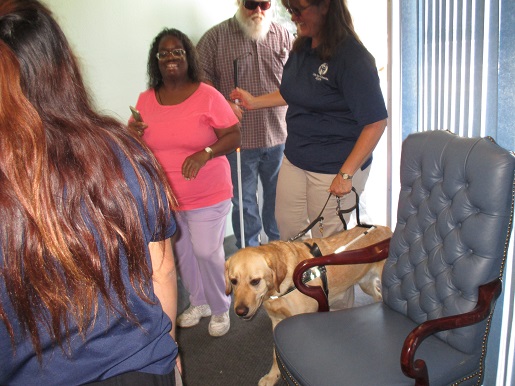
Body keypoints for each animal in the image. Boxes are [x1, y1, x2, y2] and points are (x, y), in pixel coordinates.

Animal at [225, 225, 392, 384]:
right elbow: (274, 353)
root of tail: (385, 228)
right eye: (233, 281)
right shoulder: (276, 321)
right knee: (378, 295)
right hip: (366, 284)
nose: (240, 311)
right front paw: (272, 376)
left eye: (255, 281)